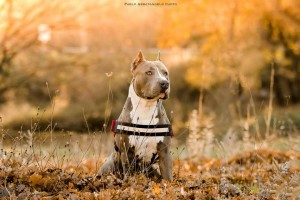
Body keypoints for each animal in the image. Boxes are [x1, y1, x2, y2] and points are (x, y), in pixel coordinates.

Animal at [98, 49, 172, 180]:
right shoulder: (127, 152)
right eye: (148, 72)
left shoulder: (164, 152)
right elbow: (129, 175)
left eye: (165, 73)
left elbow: (167, 177)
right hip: (110, 165)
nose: (165, 83)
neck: (146, 107)